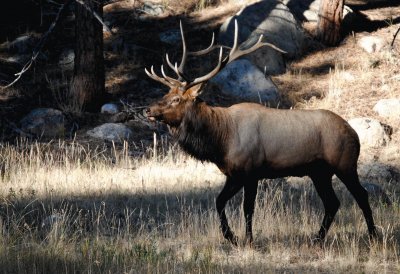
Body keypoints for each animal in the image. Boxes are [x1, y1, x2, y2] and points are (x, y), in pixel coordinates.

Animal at [145, 20, 376, 245]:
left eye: (176, 99)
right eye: (166, 93)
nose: (148, 109)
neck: (221, 140)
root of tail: (354, 133)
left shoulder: (251, 171)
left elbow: (248, 208)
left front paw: (248, 240)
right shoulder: (233, 174)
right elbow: (219, 201)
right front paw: (231, 237)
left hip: (345, 164)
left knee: (361, 195)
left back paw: (373, 236)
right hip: (319, 172)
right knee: (332, 203)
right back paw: (317, 238)